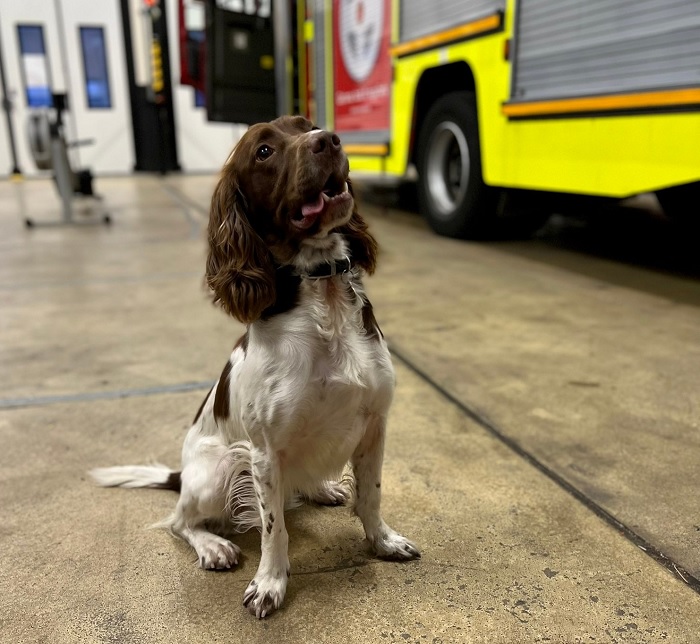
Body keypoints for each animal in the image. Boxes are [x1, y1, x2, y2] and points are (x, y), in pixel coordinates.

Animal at [93, 115, 422, 620]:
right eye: (264, 152)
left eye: (307, 126)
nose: (329, 139)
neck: (322, 298)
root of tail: (181, 473)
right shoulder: (264, 452)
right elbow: (273, 528)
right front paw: (270, 582)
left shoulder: (374, 424)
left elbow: (372, 493)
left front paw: (383, 541)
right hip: (221, 467)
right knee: (180, 520)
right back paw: (213, 546)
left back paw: (322, 489)